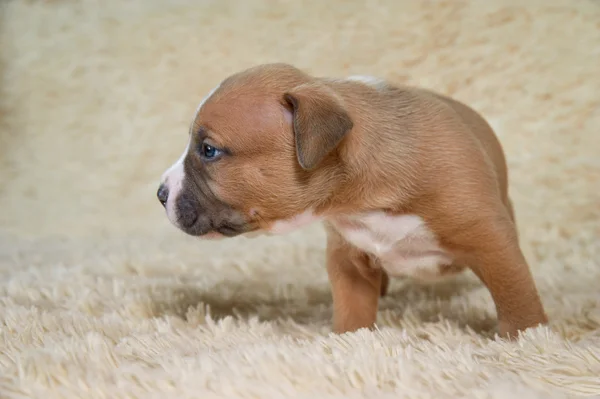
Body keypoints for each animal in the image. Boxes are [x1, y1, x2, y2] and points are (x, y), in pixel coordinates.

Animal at [158, 64, 548, 340]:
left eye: (209, 150)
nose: (161, 194)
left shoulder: (491, 240)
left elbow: (515, 293)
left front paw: (527, 339)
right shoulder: (348, 257)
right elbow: (353, 307)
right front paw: (349, 341)